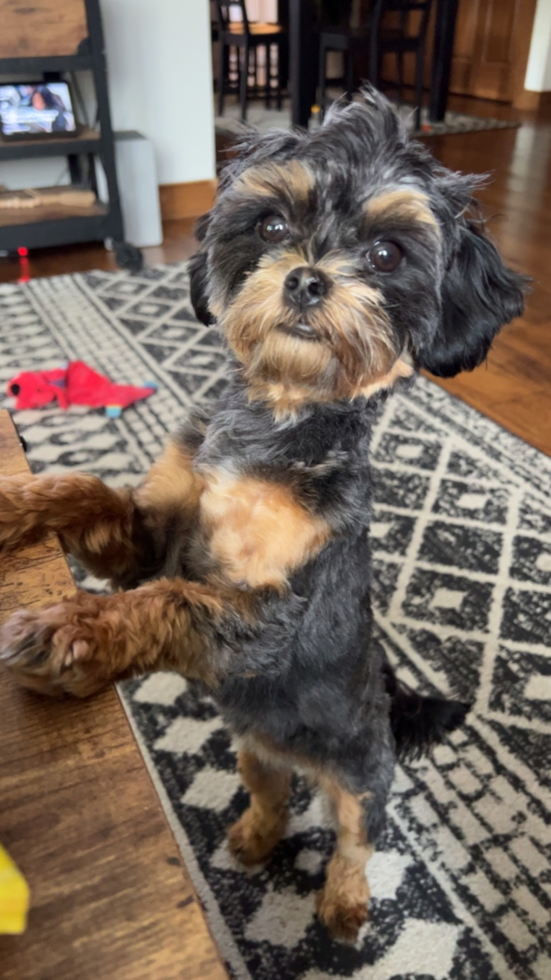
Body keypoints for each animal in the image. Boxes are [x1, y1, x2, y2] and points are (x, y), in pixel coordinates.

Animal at [0, 92, 528, 940]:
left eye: (386, 254)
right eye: (274, 226)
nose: (308, 280)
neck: (272, 425)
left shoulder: (269, 615)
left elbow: (168, 601)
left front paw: (71, 631)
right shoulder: (151, 538)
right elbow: (91, 496)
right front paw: (18, 502)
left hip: (362, 775)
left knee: (354, 839)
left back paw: (343, 908)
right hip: (251, 748)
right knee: (271, 795)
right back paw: (250, 837)